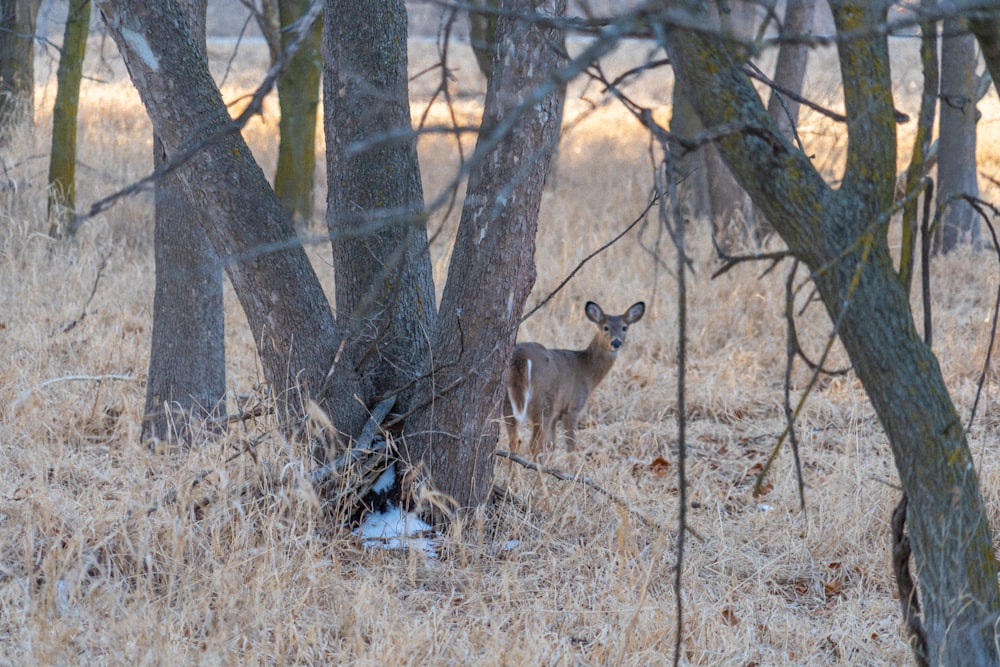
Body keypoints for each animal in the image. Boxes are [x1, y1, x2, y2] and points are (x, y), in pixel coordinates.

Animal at [503, 300, 645, 454]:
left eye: (624, 327)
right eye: (605, 327)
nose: (616, 343)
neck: (585, 370)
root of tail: (521, 356)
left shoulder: (556, 416)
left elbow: (551, 445)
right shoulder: (572, 407)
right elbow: (571, 445)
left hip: (509, 403)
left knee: (515, 441)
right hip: (544, 402)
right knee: (534, 445)